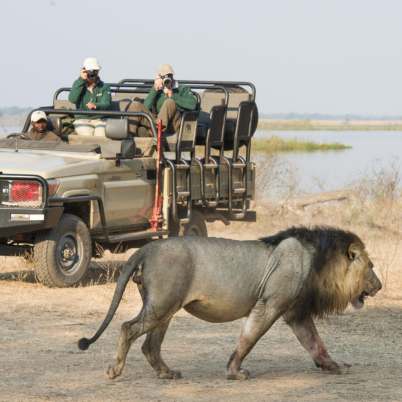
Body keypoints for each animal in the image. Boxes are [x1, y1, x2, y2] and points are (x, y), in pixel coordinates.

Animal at [79, 226, 384, 380]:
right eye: (371, 266)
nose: (380, 286)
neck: (318, 261)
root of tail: (147, 247)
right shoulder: (270, 305)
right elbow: (249, 338)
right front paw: (235, 372)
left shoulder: (296, 313)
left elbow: (315, 343)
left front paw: (333, 366)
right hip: (162, 305)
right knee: (128, 329)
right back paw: (115, 371)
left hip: (164, 307)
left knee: (150, 344)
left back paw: (167, 373)